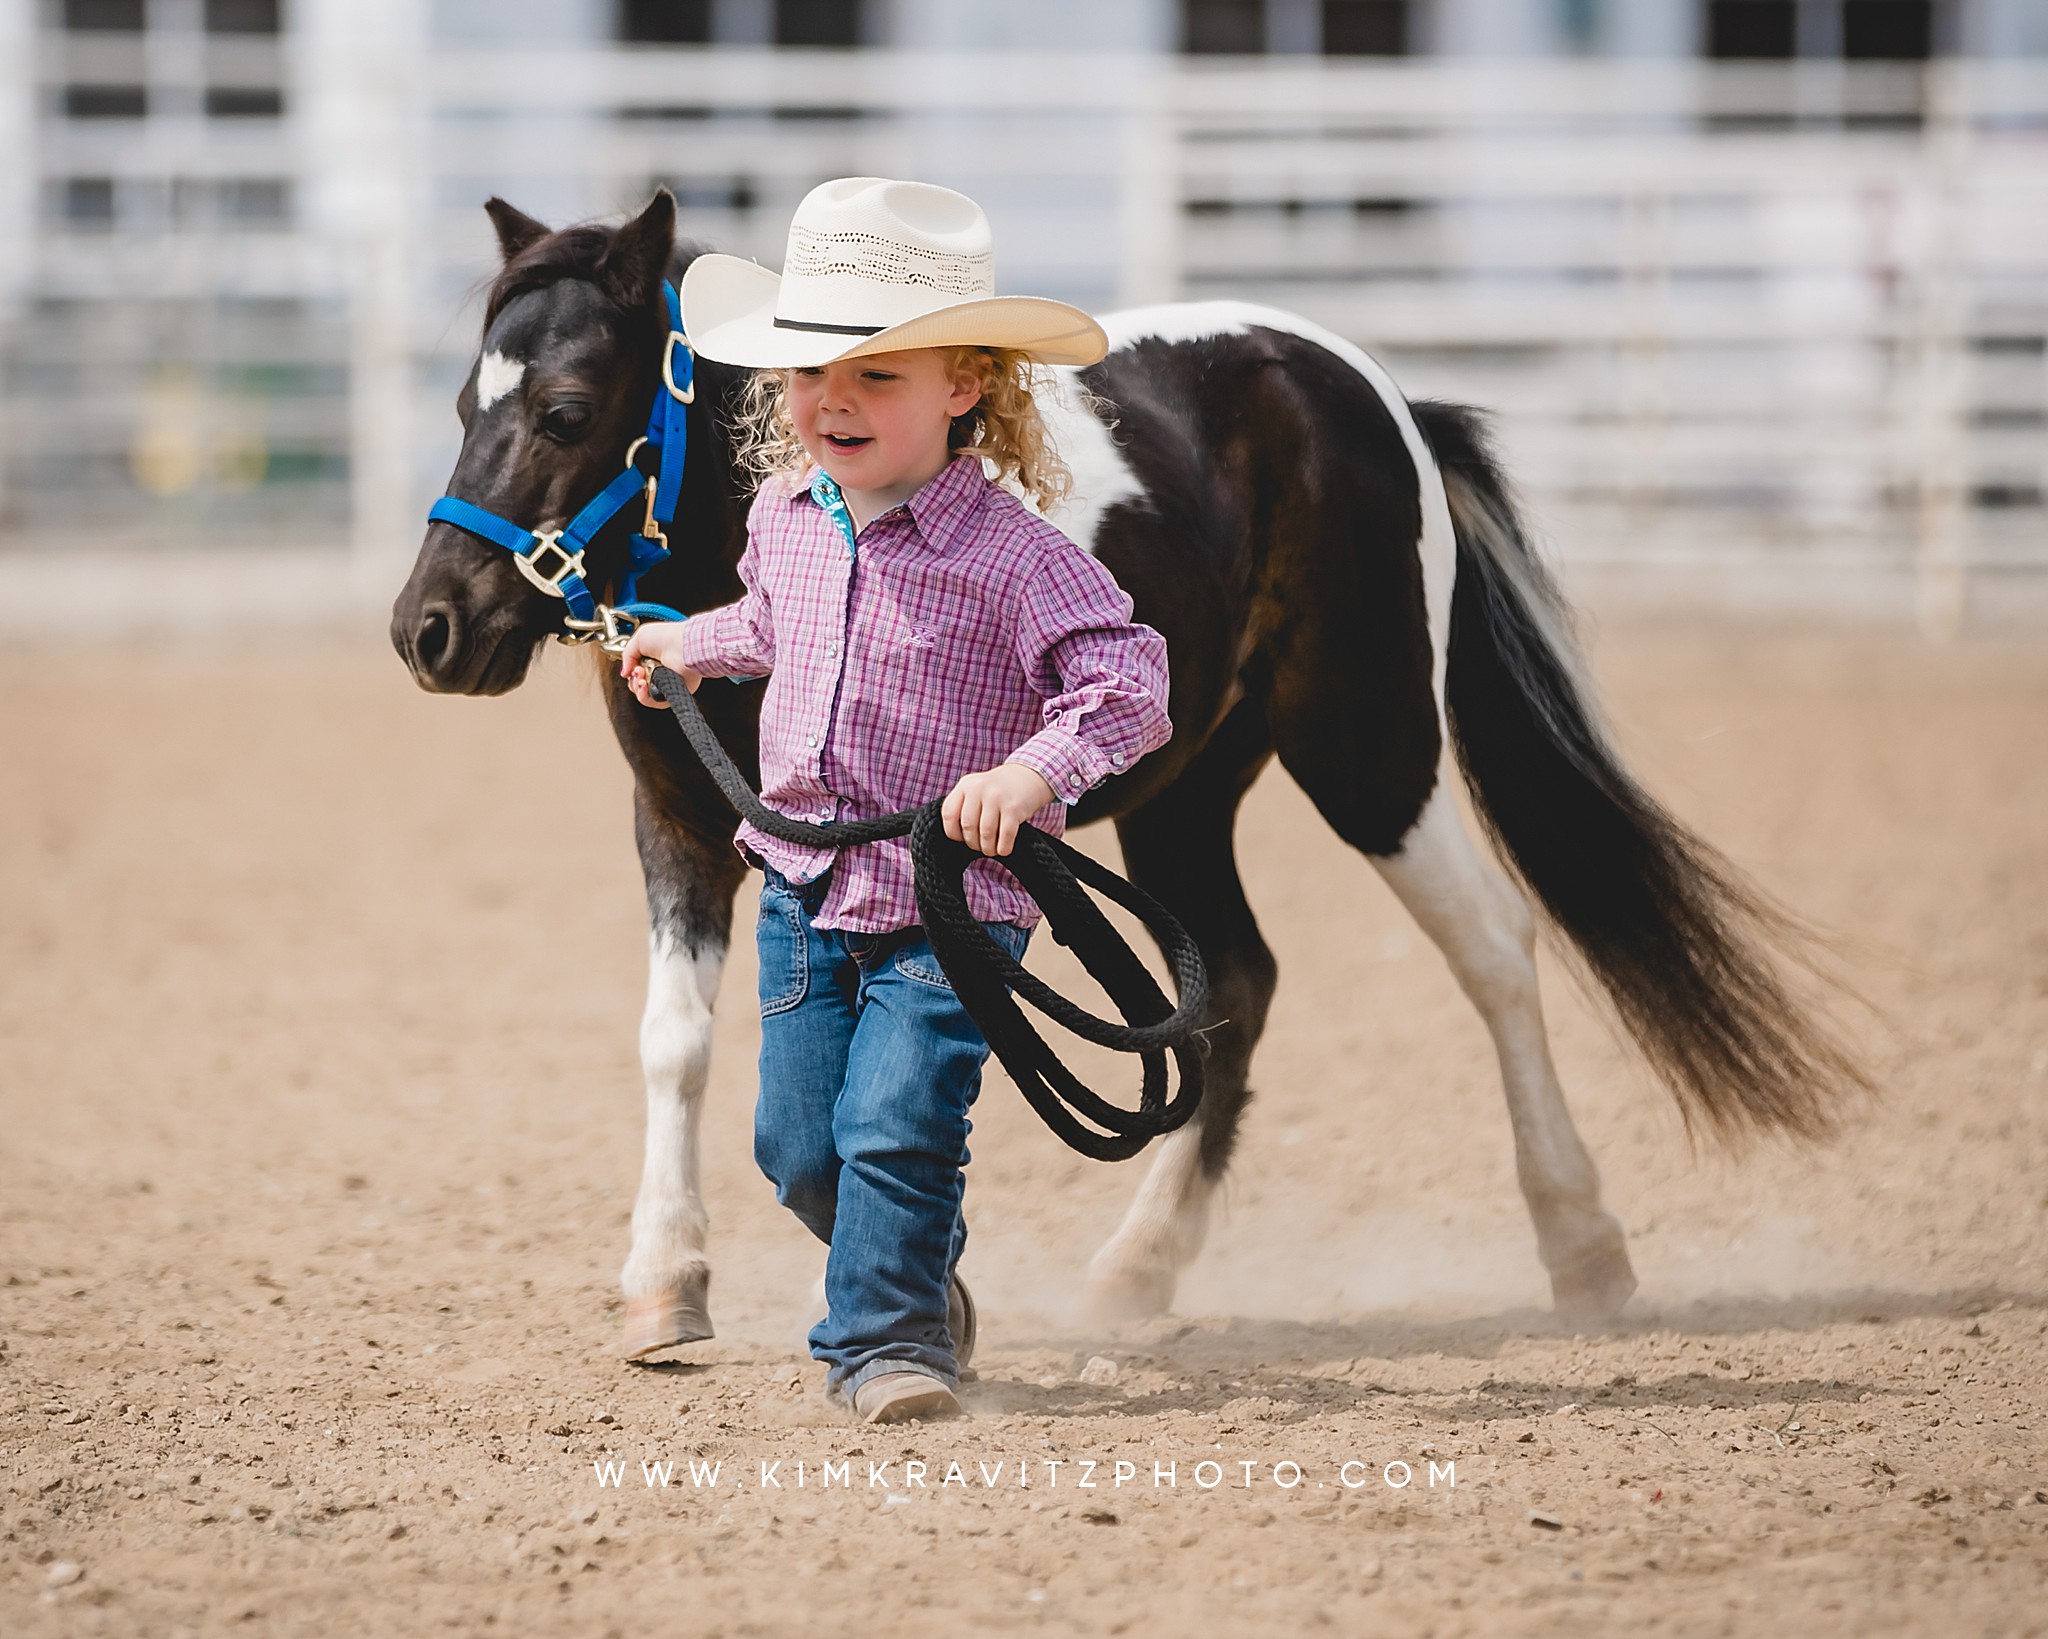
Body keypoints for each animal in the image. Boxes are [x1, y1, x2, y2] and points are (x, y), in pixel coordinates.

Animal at [391, 192, 1867, 1352]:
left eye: (568, 409)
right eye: (466, 401)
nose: (428, 628)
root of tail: (1361, 387)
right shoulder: (684, 824)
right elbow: (680, 1044)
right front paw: (665, 1282)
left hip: (1372, 748)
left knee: (1494, 948)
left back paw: (1581, 1240)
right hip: (1183, 797)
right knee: (1235, 985)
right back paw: (1138, 1267)